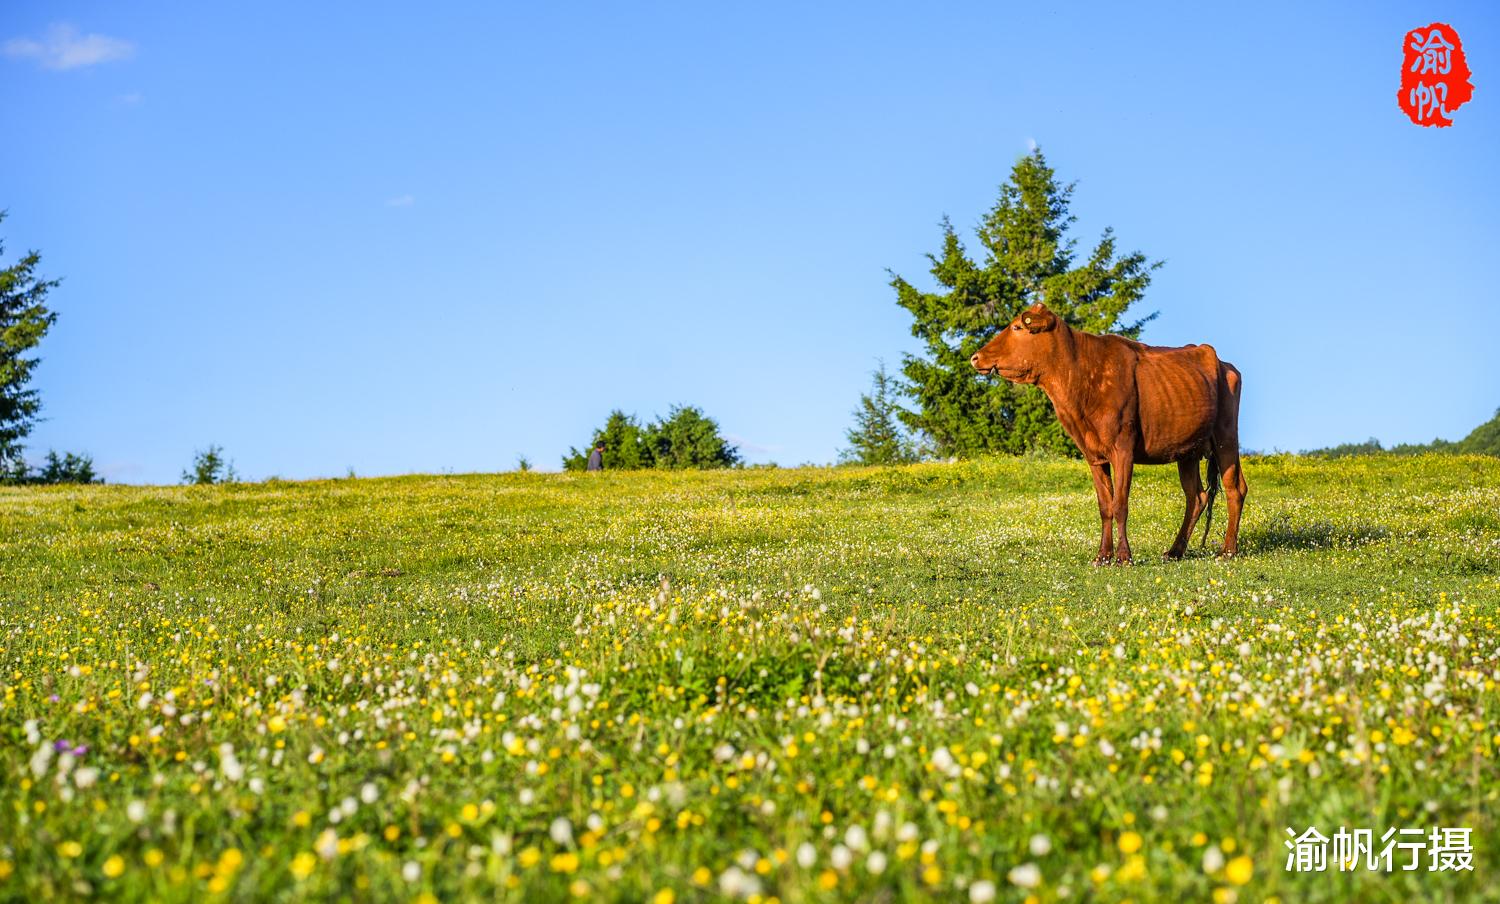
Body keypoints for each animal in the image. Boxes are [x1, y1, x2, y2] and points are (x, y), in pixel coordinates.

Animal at [972, 302, 1242, 566]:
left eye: (1017, 327)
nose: (976, 357)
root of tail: (1220, 361)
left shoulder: (1123, 449)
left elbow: (1120, 504)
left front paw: (1124, 556)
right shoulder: (1093, 454)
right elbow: (1105, 506)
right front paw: (1102, 556)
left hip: (1226, 435)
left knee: (1235, 489)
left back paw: (1227, 551)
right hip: (1187, 451)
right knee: (1196, 497)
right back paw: (1175, 551)